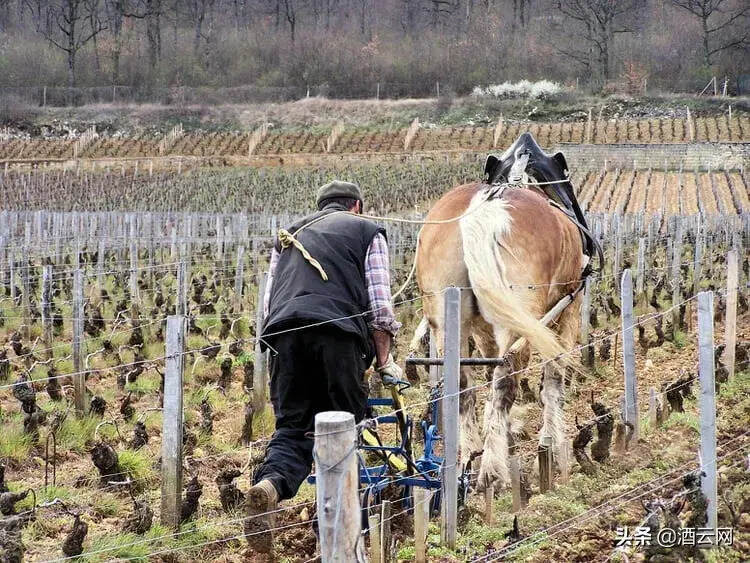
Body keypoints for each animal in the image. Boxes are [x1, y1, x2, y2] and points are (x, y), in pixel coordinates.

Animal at [414, 134, 596, 492]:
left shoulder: (483, 329)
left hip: (448, 319)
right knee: (506, 378)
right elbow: (554, 377)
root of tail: (483, 209)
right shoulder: (569, 310)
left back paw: (470, 460)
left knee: (463, 382)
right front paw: (554, 449)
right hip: (523, 317)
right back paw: (492, 472)